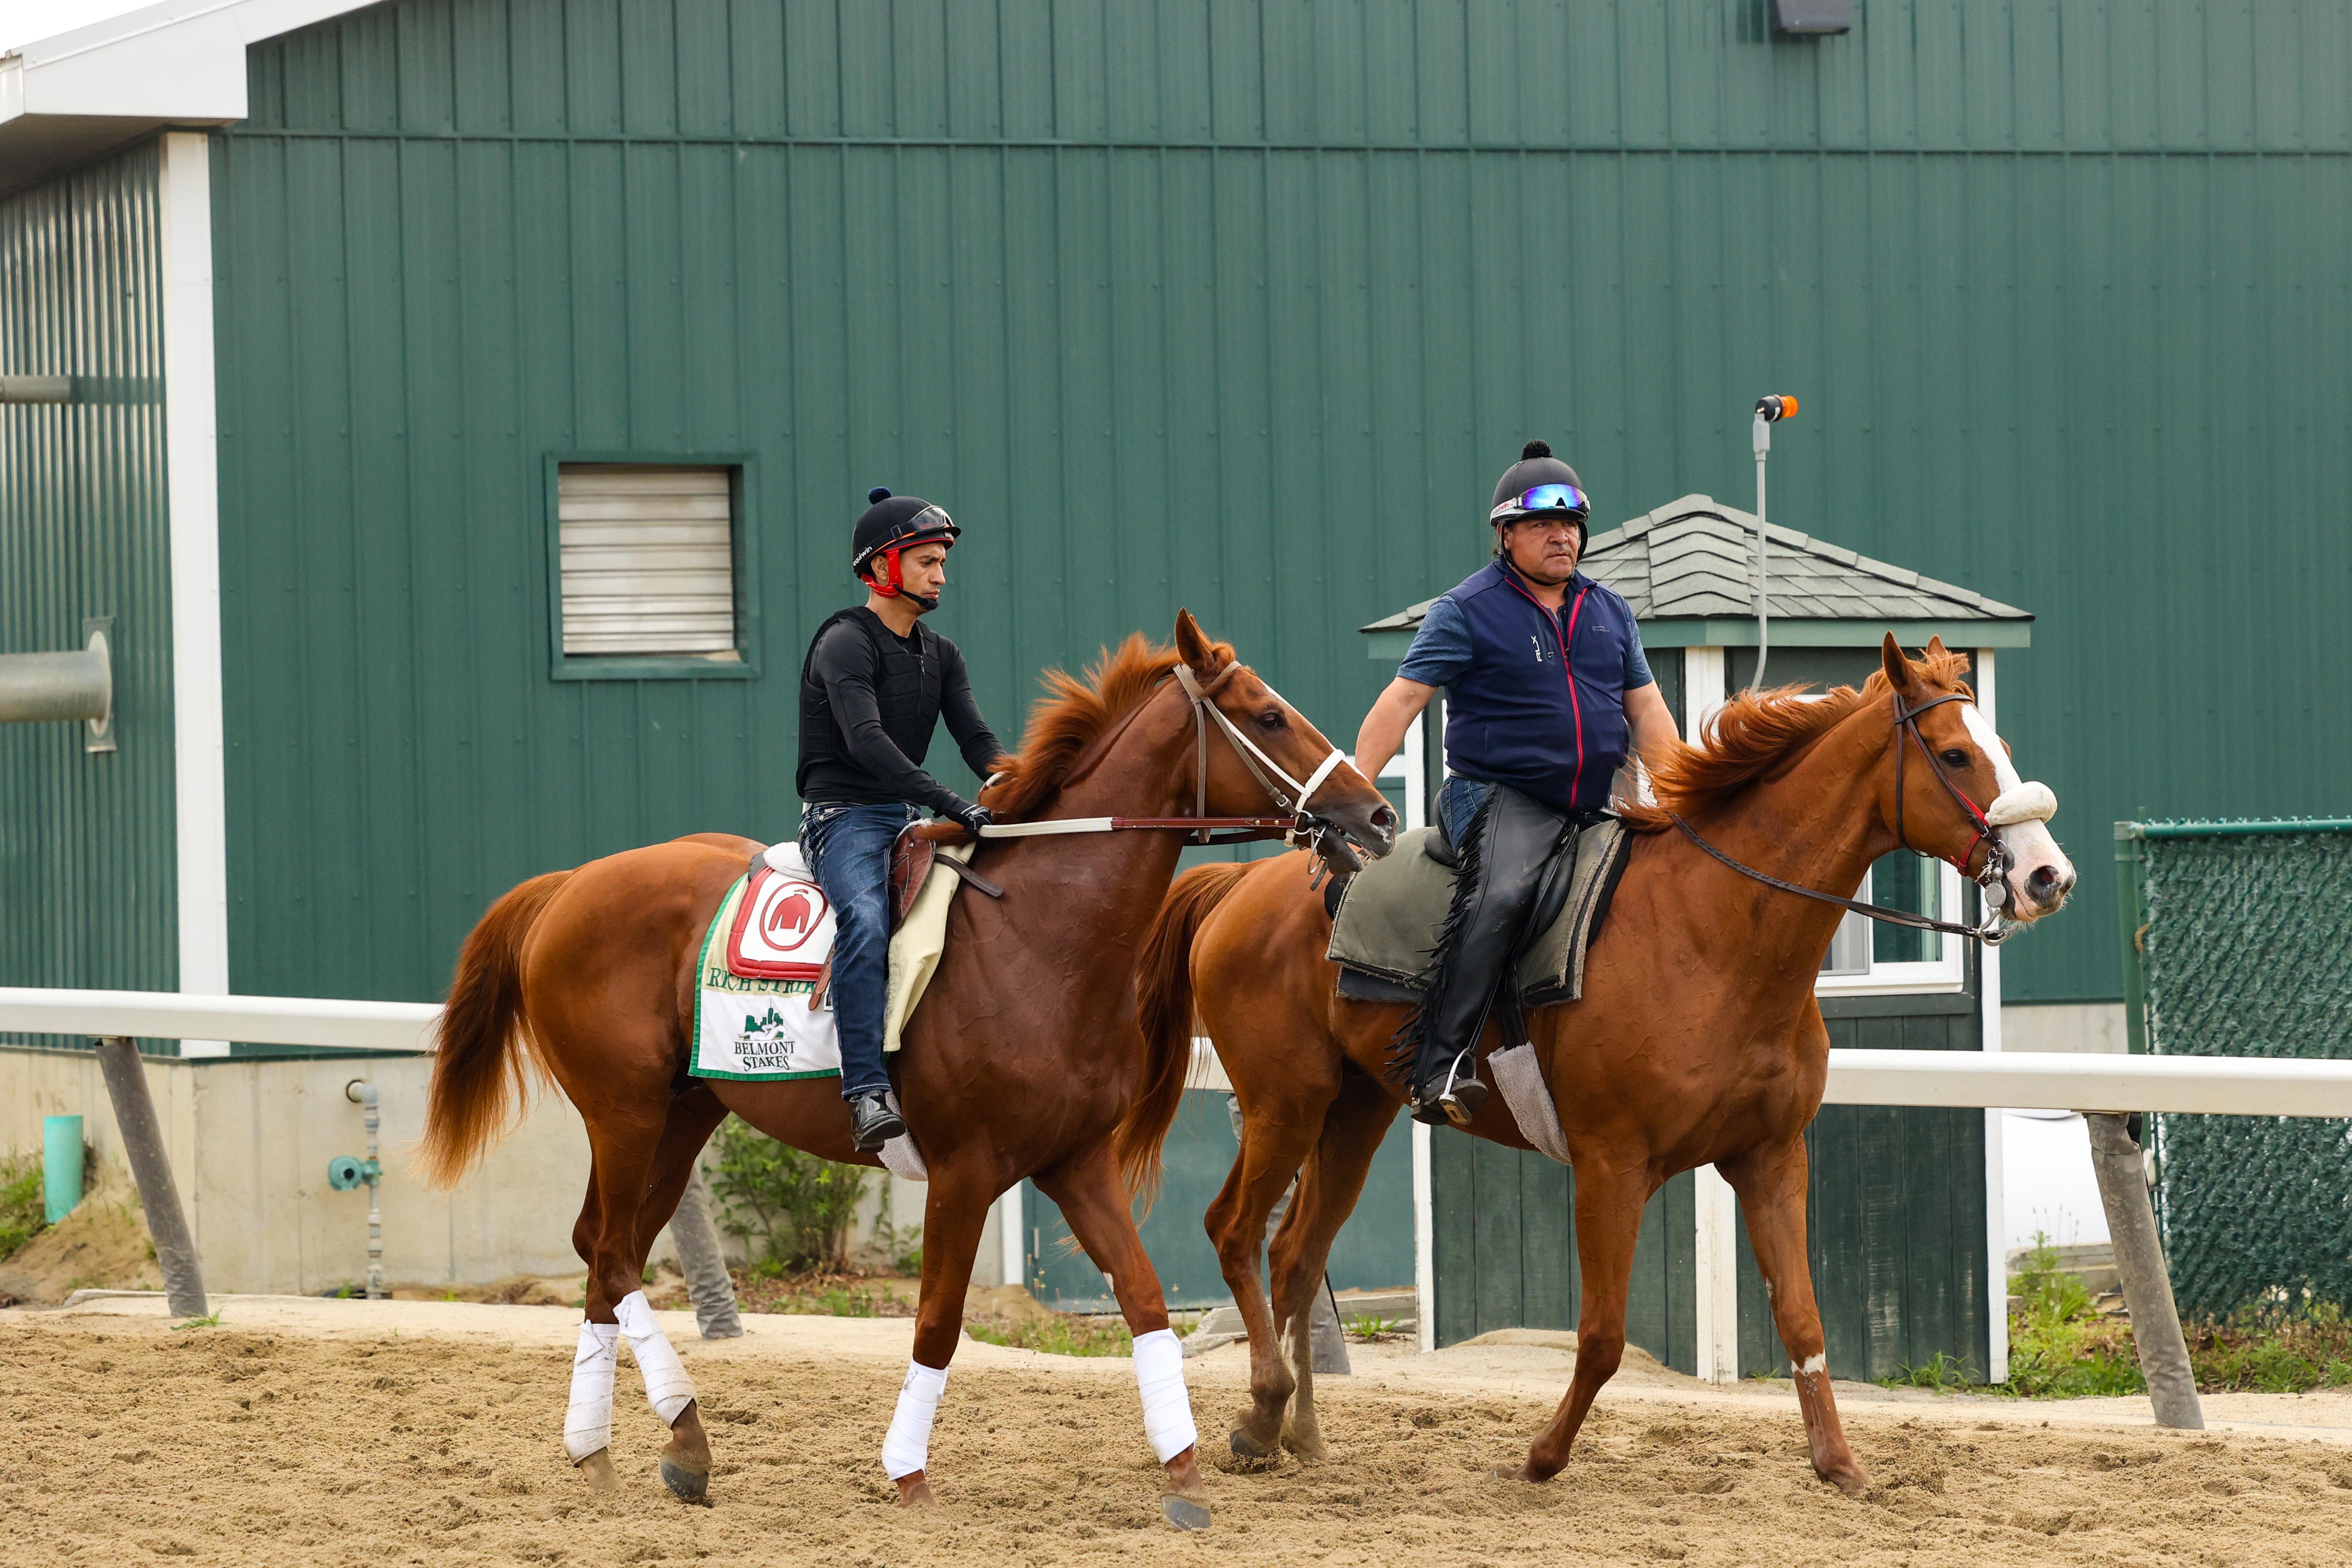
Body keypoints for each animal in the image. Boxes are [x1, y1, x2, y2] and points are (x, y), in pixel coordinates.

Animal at [418, 611, 1392, 1523]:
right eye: (1268, 716)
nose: (1375, 815)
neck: (1039, 937)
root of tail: (568, 885)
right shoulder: (965, 1172)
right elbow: (936, 1322)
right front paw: (908, 1472)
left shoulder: (1074, 1161)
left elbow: (1147, 1303)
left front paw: (1184, 1473)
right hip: (622, 1112)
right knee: (616, 1255)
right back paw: (686, 1435)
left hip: (681, 1116)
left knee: (600, 1250)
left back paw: (602, 1449)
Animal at [1138, 639, 2079, 1495]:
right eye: (1954, 755)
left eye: (1997, 746)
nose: (2047, 876)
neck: (1715, 932)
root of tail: (1239, 888)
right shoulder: (1611, 1167)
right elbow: (1600, 1337)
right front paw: (1541, 1457)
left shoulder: (1770, 1158)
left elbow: (1802, 1320)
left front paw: (1838, 1464)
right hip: (1283, 1106)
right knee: (1234, 1230)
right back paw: (1260, 1416)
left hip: (1353, 1115)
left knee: (1295, 1255)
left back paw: (1293, 1431)